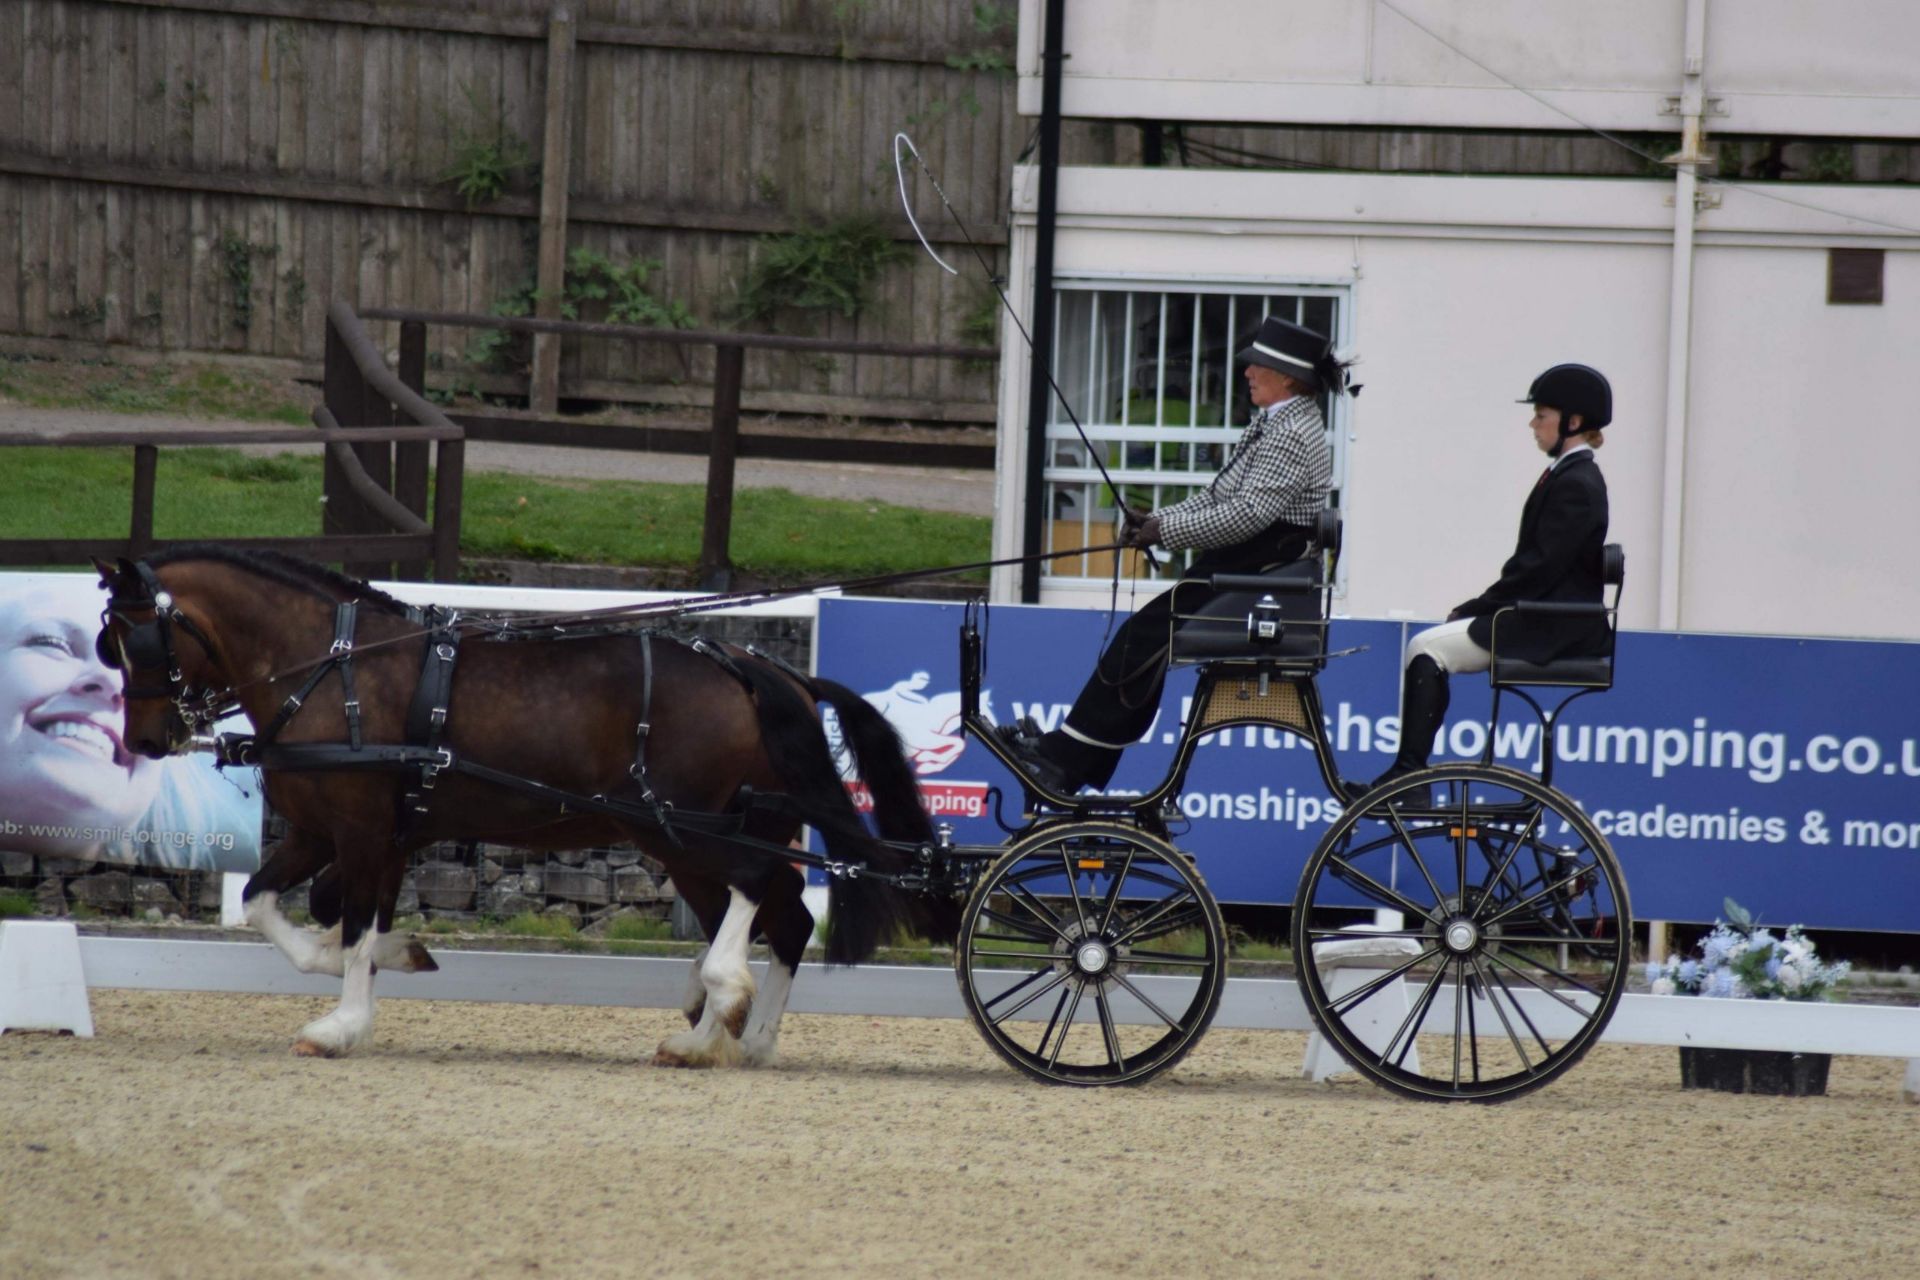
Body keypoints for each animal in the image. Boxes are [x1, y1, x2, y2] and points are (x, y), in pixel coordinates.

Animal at [95, 545, 952, 1066]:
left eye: (134, 644)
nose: (146, 738)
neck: (333, 669)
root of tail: (757, 667)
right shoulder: (325, 830)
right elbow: (277, 907)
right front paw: (386, 956)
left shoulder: (365, 832)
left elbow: (355, 919)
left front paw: (342, 1021)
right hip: (692, 838)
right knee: (787, 919)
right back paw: (731, 1034)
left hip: (692, 830)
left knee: (754, 895)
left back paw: (723, 999)